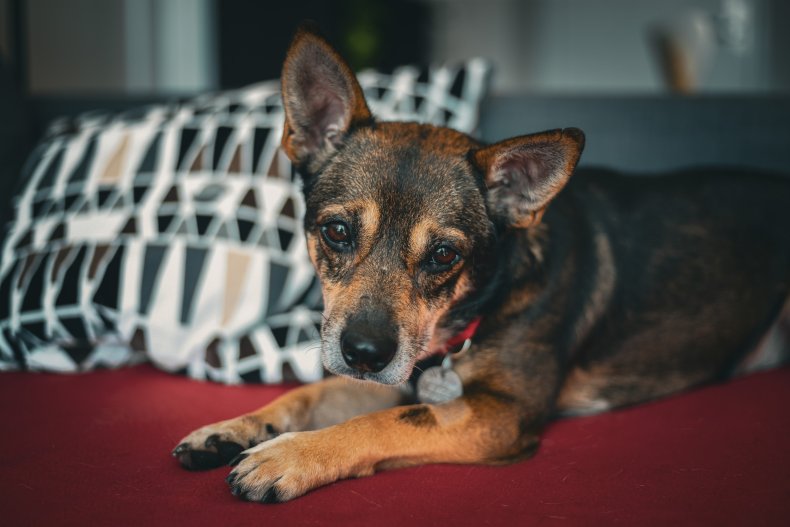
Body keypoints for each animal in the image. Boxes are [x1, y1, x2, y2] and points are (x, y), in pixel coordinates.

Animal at [173, 25, 790, 504]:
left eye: (444, 255)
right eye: (337, 232)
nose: (365, 353)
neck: (477, 311)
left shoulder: (499, 414)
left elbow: (382, 420)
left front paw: (286, 456)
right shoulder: (391, 376)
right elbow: (308, 396)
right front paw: (231, 429)